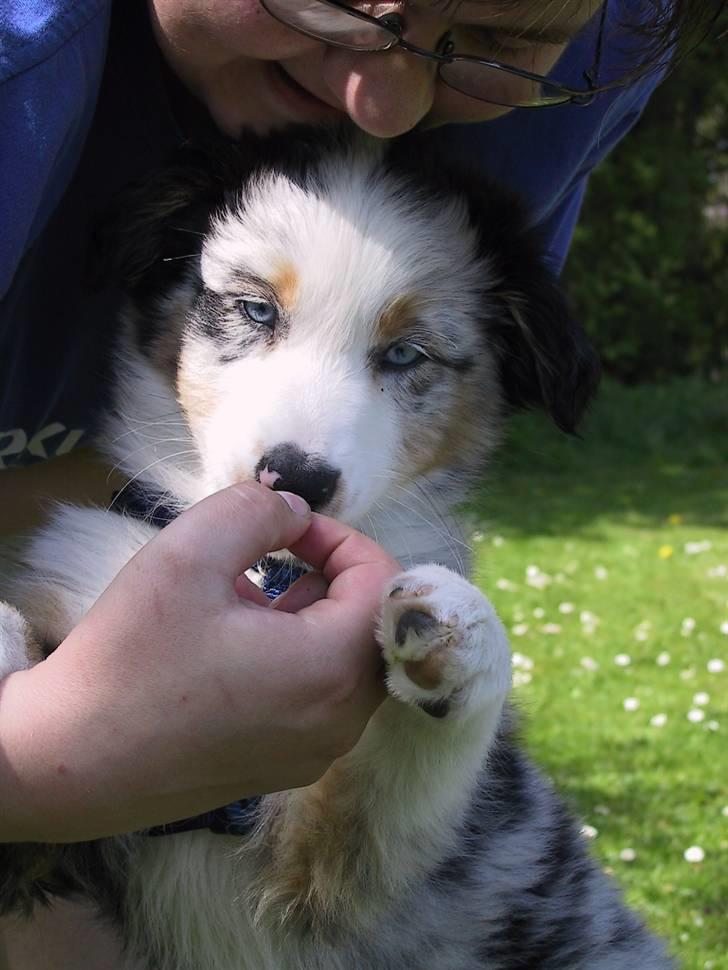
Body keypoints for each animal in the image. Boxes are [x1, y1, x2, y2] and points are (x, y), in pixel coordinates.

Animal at [0, 130, 672, 968]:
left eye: (406, 355)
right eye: (256, 310)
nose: (296, 476)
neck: (268, 575)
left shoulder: (335, 874)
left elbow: (410, 789)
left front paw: (461, 629)